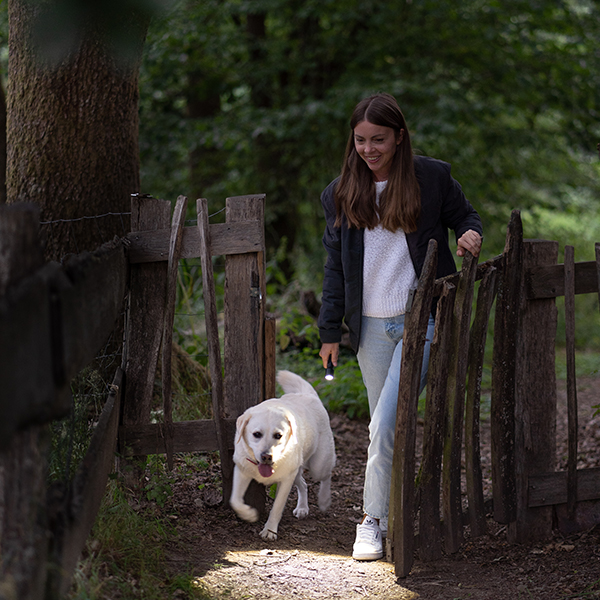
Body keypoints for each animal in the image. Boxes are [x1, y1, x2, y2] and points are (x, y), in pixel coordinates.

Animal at [230, 370, 336, 540]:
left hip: (317, 466)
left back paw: (324, 500)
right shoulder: (242, 471)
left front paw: (269, 530)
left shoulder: (286, 480)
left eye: (278, 435)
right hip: (296, 470)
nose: (267, 456)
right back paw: (302, 508)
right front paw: (248, 515)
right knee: (304, 484)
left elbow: (277, 508)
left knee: (326, 475)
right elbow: (235, 501)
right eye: (256, 434)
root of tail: (308, 394)